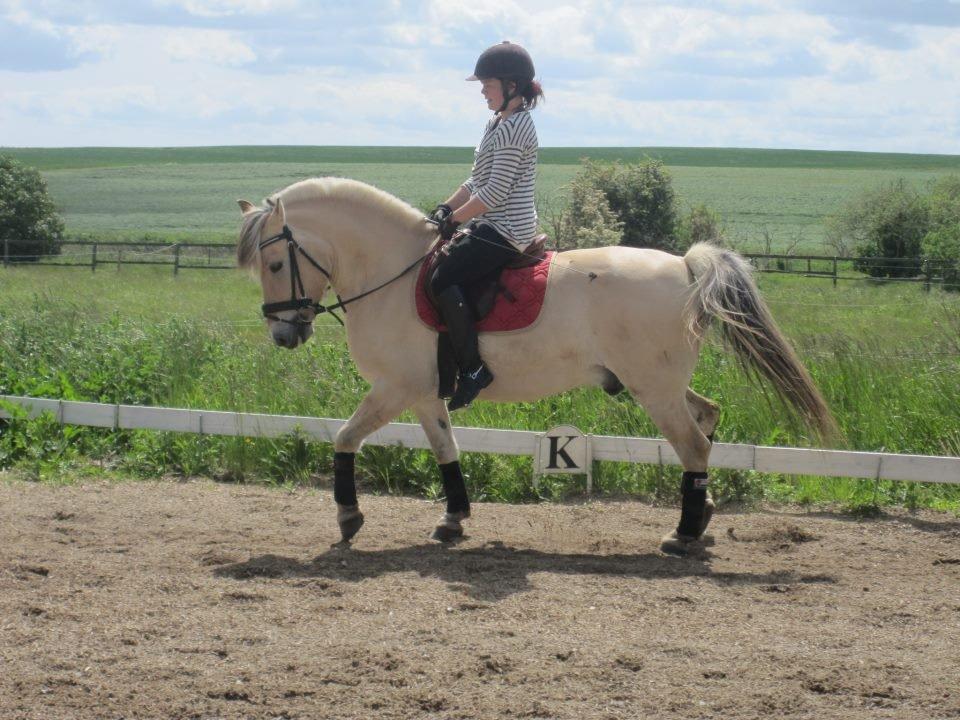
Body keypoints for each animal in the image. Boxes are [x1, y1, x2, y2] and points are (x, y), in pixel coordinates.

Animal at [234, 177, 832, 556]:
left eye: (275, 263)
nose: (284, 334)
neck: (392, 275)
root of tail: (686, 265)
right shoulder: (425, 393)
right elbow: (447, 449)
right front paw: (453, 519)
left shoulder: (394, 387)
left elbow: (343, 438)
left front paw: (349, 517)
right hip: (662, 384)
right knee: (707, 419)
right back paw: (701, 518)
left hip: (653, 388)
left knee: (694, 446)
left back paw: (682, 536)